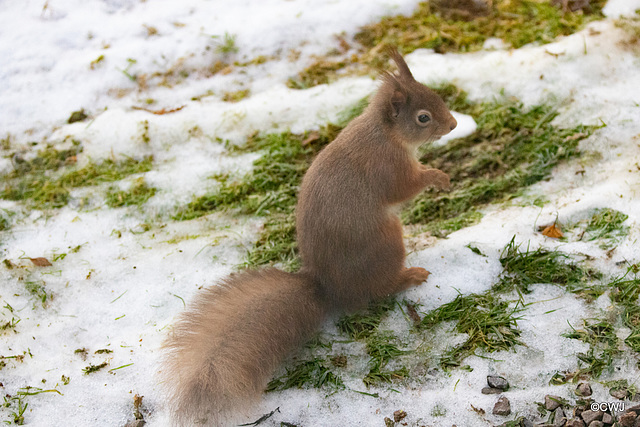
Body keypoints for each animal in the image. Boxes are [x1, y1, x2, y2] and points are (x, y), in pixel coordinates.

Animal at [162, 49, 458, 424]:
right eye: (423, 117)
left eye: (437, 97)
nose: (454, 125)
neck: (384, 134)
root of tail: (328, 288)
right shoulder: (387, 167)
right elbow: (404, 187)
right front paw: (439, 177)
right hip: (388, 244)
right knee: (379, 290)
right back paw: (409, 277)